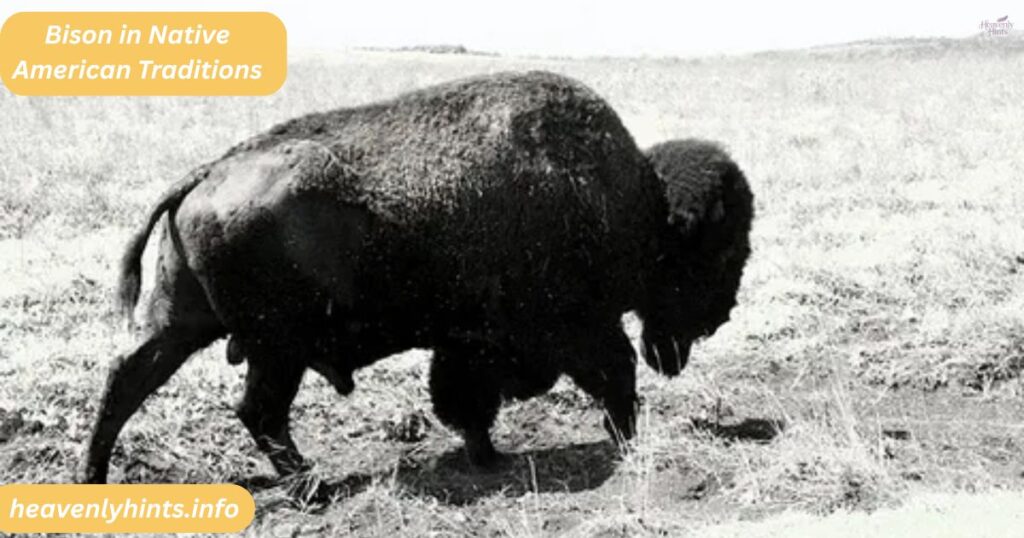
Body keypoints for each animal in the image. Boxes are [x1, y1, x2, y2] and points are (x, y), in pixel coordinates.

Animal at [81, 71, 753, 490]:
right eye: (719, 252)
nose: (721, 314)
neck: (637, 204)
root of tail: (208, 173)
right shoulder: (572, 328)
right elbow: (614, 376)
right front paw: (625, 438)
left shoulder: (467, 344)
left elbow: (468, 402)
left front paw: (487, 456)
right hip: (277, 347)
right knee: (257, 411)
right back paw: (312, 486)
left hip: (184, 322)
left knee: (127, 381)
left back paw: (93, 477)